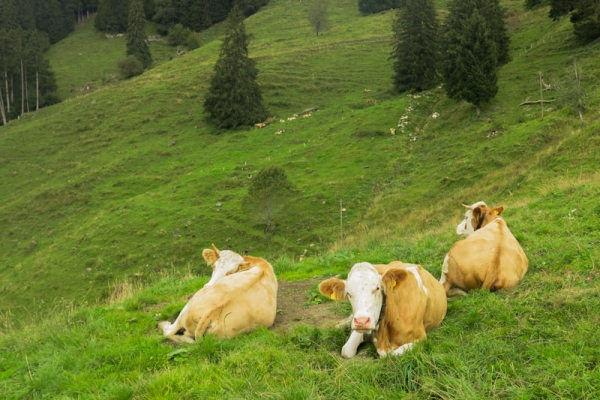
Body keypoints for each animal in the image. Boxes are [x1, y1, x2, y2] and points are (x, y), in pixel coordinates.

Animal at [318, 260, 446, 358]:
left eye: (377, 288)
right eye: (348, 293)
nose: (361, 321)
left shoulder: (420, 338)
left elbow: (391, 355)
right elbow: (346, 350)